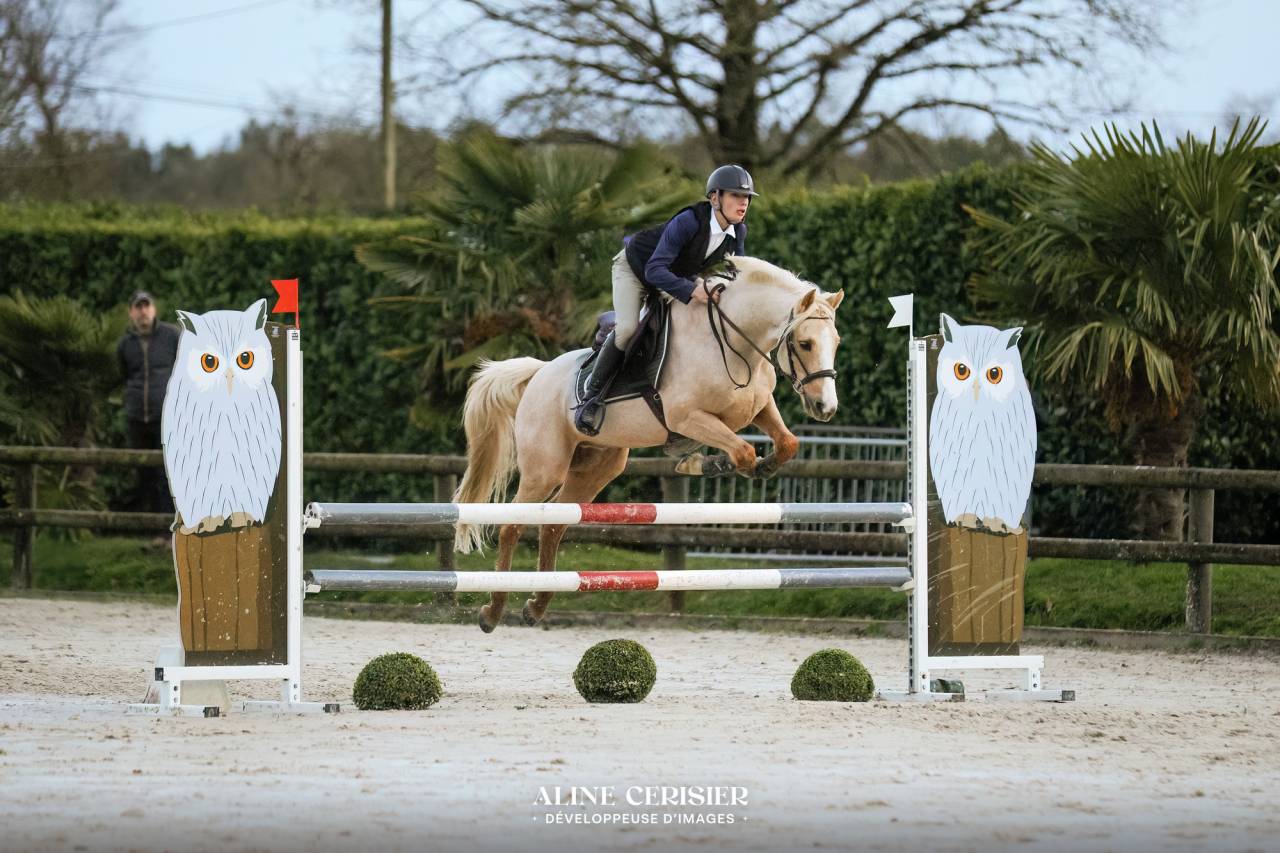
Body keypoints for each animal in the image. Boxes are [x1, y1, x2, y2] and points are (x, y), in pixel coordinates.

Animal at [452, 256, 846, 632]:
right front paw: (708, 463)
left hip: (597, 467)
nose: (826, 407)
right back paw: (492, 611)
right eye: (805, 343)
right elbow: (743, 450)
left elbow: (787, 443)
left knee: (553, 525)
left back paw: (536, 607)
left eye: (837, 343)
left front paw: (748, 465)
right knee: (511, 525)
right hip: (545, 468)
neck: (734, 342)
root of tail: (540, 372)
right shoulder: (686, 417)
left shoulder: (758, 408)